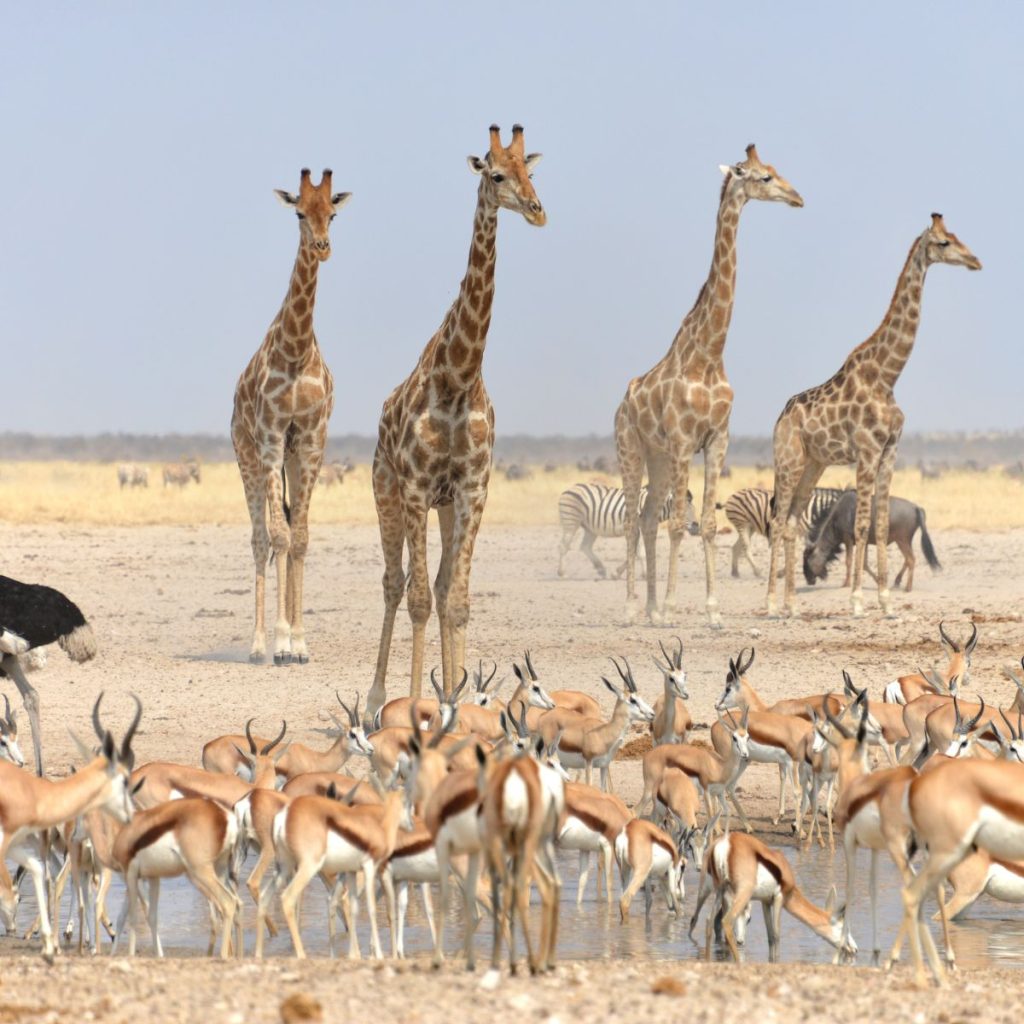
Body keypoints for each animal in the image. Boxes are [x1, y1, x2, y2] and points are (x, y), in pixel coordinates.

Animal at [366, 123, 544, 720]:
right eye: (497, 174)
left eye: (531, 171)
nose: (537, 210)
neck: (458, 376)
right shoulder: (417, 487)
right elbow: (420, 598)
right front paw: (414, 706)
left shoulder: (471, 489)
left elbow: (456, 599)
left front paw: (455, 701)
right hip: (387, 490)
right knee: (395, 583)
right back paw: (377, 698)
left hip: (443, 508)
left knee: (441, 587)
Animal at [557, 483, 700, 581]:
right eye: (683, 512)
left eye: (694, 510)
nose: (697, 528)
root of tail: (568, 489)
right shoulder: (639, 527)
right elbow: (639, 552)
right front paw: (646, 574)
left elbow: (635, 552)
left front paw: (616, 573)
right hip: (571, 521)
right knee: (563, 546)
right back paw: (562, 573)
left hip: (590, 528)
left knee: (585, 546)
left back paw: (601, 569)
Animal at [610, 142, 802, 622]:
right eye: (763, 177)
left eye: (775, 170)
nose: (797, 197)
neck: (710, 354)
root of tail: (621, 403)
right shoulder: (683, 439)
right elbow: (681, 523)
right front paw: (673, 606)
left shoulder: (717, 439)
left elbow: (710, 524)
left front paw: (712, 610)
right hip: (631, 448)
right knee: (632, 521)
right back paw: (634, 608)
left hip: (659, 458)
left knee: (646, 519)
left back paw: (649, 608)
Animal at [765, 210, 978, 614]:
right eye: (944, 243)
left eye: (959, 236)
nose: (975, 261)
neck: (887, 375)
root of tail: (780, 418)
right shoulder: (866, 451)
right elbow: (862, 525)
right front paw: (857, 601)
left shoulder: (890, 451)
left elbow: (880, 525)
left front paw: (886, 601)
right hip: (788, 460)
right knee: (778, 519)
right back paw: (770, 603)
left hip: (814, 463)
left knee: (792, 521)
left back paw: (792, 605)